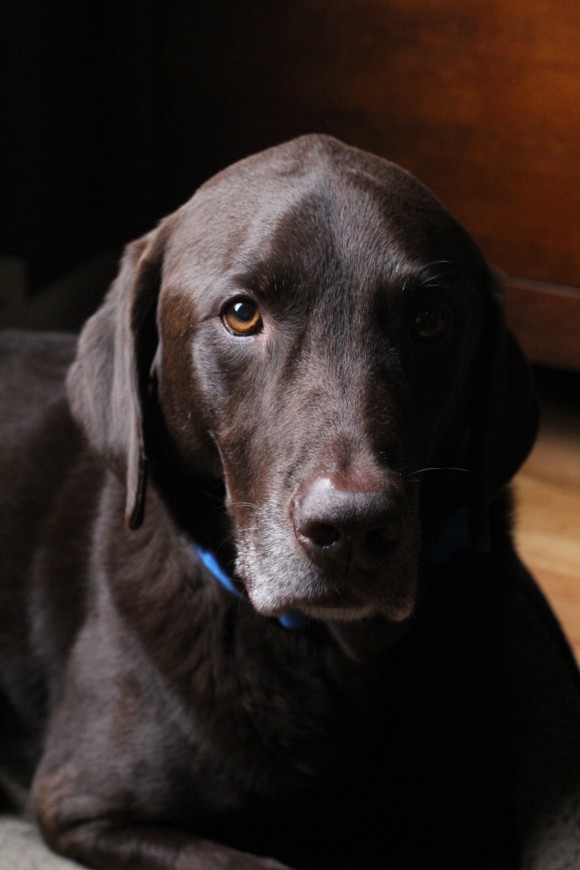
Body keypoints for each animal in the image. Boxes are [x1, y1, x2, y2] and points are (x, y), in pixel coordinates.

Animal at [2, 133, 576, 868]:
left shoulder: (467, 822)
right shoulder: (85, 803)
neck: (326, 649)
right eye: (242, 313)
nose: (353, 530)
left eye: (428, 321)